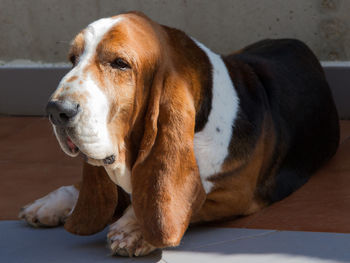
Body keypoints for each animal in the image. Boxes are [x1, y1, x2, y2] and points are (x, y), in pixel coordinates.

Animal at [18, 11, 340, 258]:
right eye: (72, 59)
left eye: (120, 63)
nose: (56, 110)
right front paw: (51, 203)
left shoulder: (234, 195)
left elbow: (189, 202)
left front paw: (135, 229)